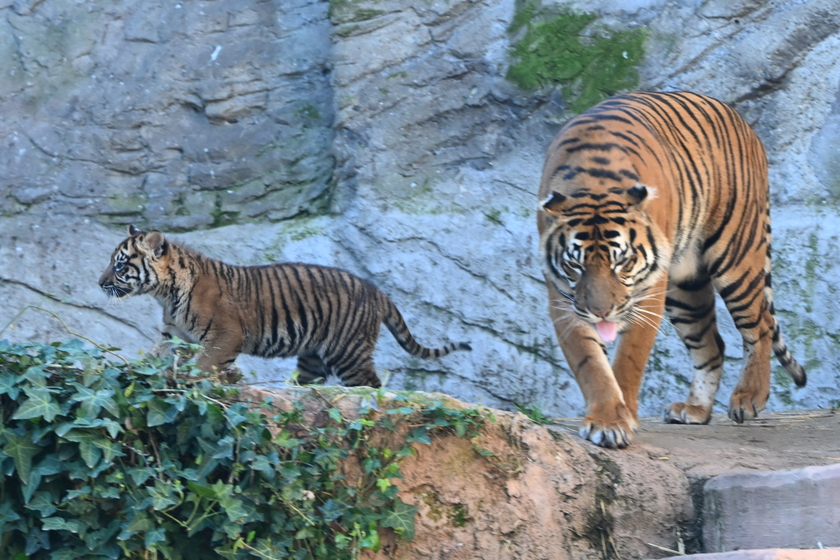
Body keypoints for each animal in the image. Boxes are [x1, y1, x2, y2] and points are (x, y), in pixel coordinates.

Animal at [97, 225, 472, 388]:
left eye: (119, 265)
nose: (100, 283)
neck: (165, 293)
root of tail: (375, 290)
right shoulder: (173, 333)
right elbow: (154, 355)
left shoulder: (226, 334)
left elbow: (204, 364)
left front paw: (200, 378)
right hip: (313, 356)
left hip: (347, 352)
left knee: (370, 385)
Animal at [540, 92, 808, 450]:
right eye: (575, 265)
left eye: (622, 262)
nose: (601, 312)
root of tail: (742, 121)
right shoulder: (564, 298)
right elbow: (591, 363)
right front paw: (608, 421)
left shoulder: (650, 290)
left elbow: (629, 359)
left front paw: (622, 418)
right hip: (686, 289)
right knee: (712, 344)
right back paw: (696, 409)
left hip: (736, 257)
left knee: (760, 325)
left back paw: (748, 397)